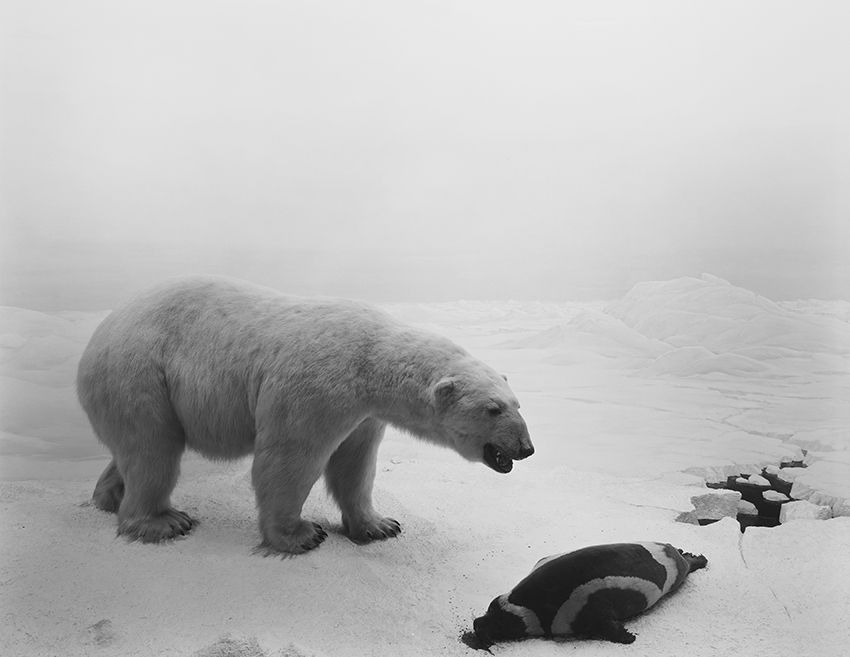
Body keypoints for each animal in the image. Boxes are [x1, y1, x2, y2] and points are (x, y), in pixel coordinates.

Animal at [78, 274, 528, 552]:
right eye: (493, 409)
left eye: (517, 403)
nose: (526, 448)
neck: (371, 360)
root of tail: (99, 332)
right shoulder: (318, 386)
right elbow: (290, 456)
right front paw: (300, 535)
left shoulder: (364, 414)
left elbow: (355, 464)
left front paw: (380, 525)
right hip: (140, 374)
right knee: (153, 449)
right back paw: (162, 521)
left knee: (136, 449)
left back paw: (109, 496)